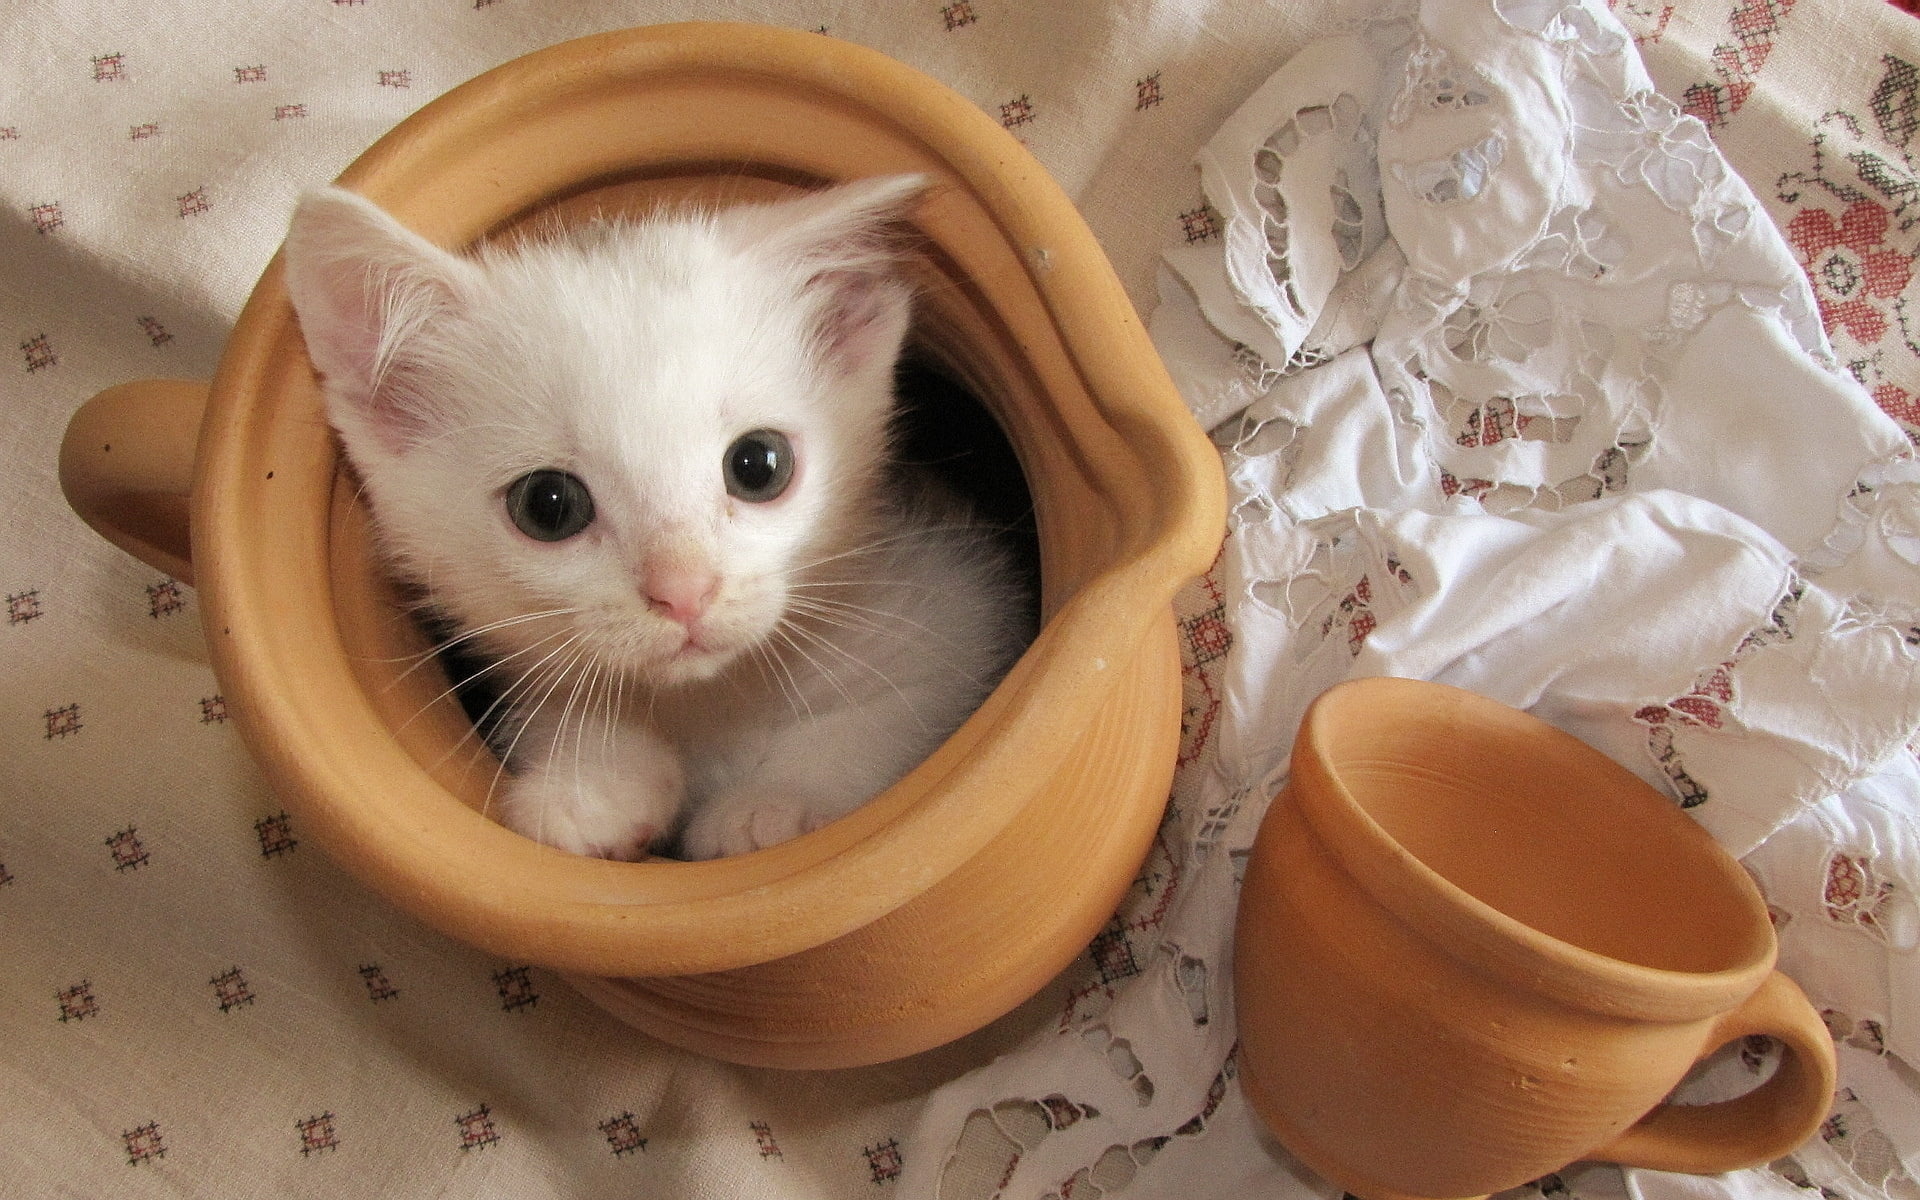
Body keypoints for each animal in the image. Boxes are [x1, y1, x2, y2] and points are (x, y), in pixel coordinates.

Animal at [280, 172, 1029, 856]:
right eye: (547, 506)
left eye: (759, 465)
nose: (684, 592)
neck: (712, 702)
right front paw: (592, 784)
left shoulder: (956, 604)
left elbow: (893, 712)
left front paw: (775, 806)